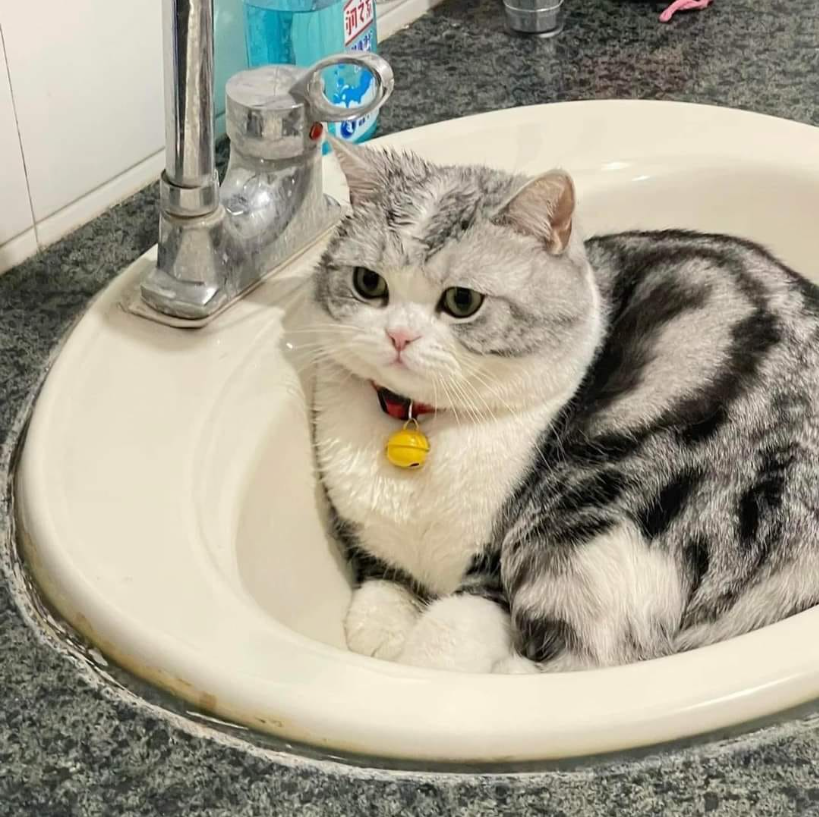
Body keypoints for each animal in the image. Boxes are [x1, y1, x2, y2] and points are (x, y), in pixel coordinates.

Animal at [310, 139, 819, 676]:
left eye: (462, 300)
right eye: (368, 283)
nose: (398, 336)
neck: (419, 428)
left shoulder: (491, 576)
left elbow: (446, 640)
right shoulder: (374, 544)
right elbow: (381, 583)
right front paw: (383, 633)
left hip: (580, 511)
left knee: (595, 654)